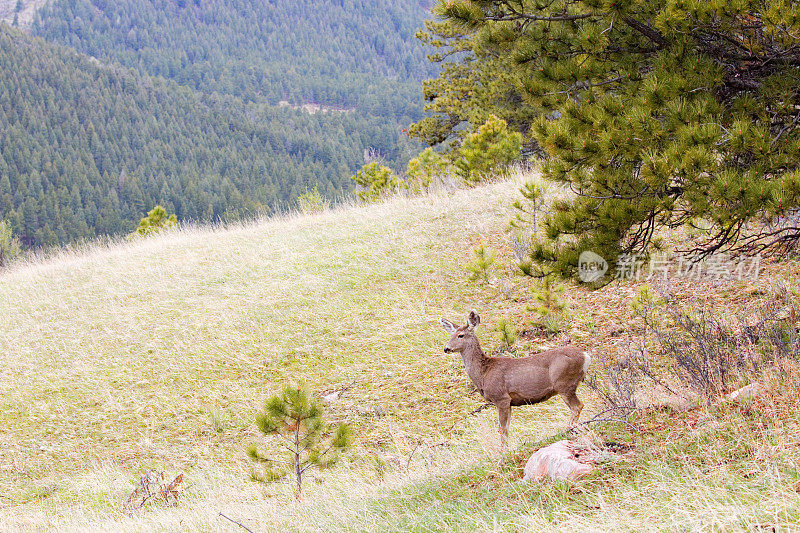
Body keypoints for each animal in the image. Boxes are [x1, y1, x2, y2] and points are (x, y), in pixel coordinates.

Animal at [440, 310, 592, 450]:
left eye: (461, 335)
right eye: (451, 335)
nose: (446, 348)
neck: (484, 373)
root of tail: (586, 355)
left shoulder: (501, 398)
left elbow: (502, 429)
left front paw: (503, 452)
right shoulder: (510, 402)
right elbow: (507, 428)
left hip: (564, 383)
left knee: (578, 406)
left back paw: (568, 430)